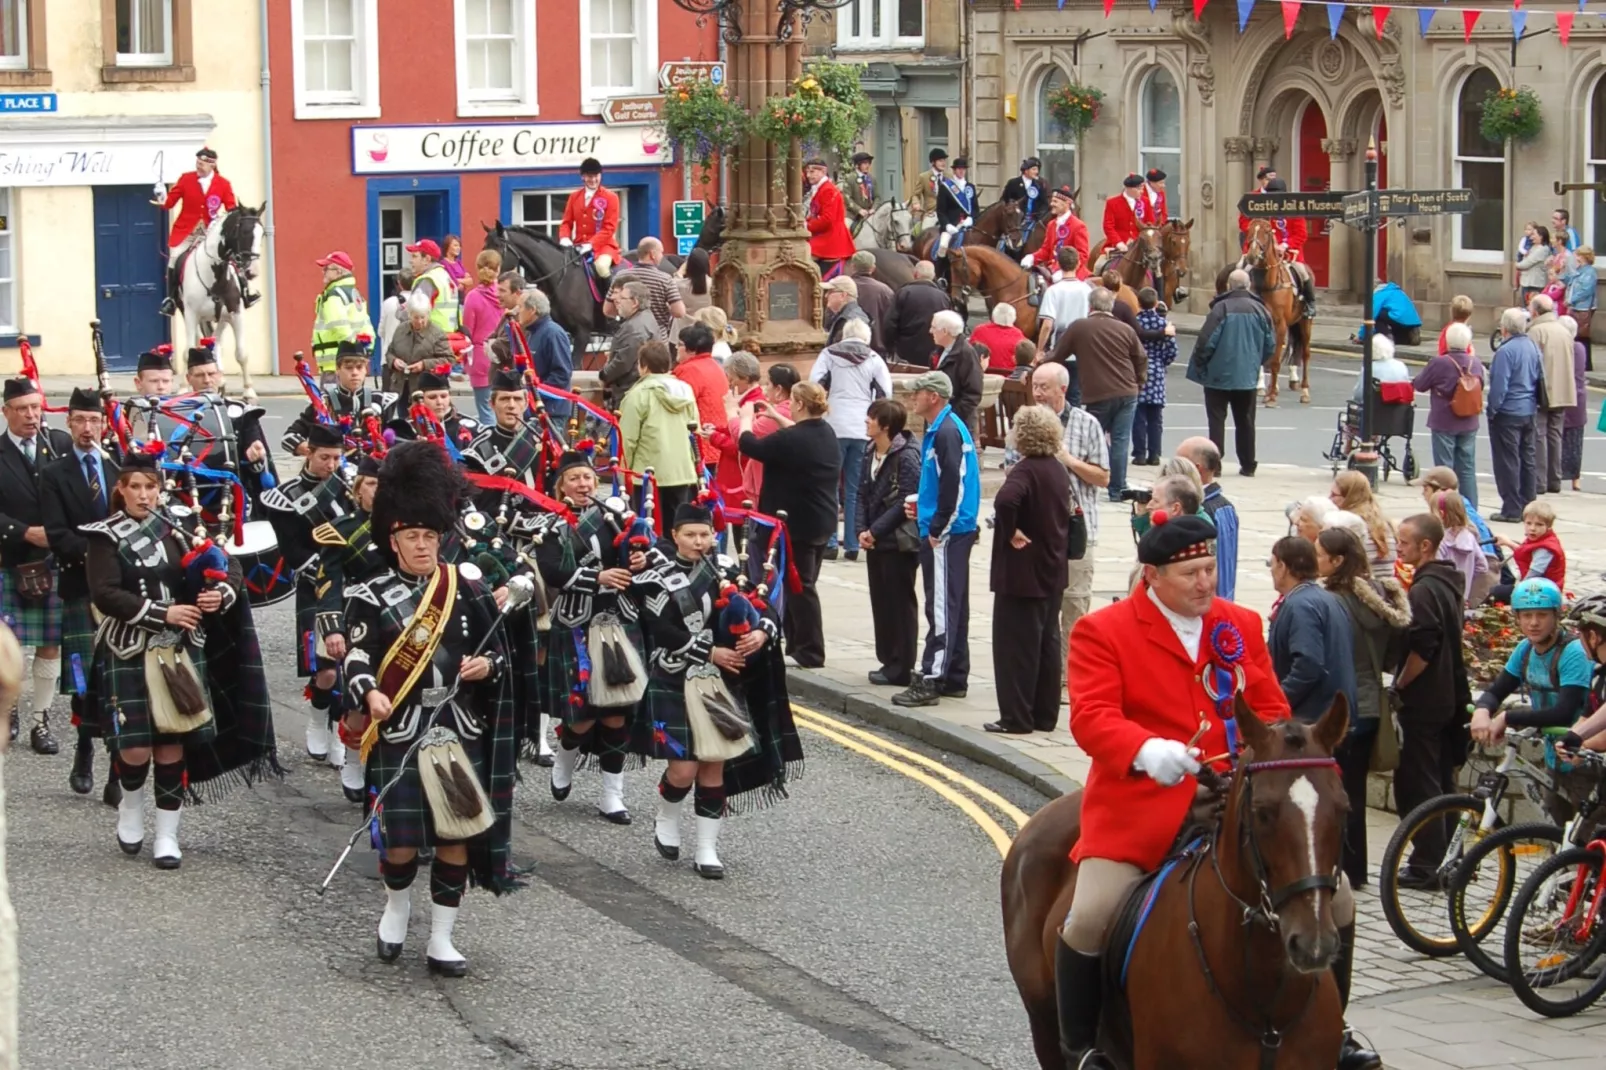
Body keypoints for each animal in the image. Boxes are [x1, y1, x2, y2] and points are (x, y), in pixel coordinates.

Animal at [175, 204, 263, 400]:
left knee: (216, 344)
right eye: (244, 232)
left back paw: (220, 380)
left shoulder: (235, 313)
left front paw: (249, 390)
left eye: (262, 234)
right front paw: (183, 387)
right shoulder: (191, 314)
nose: (252, 271)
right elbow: (188, 351)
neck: (215, 276)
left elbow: (241, 353)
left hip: (222, 318)